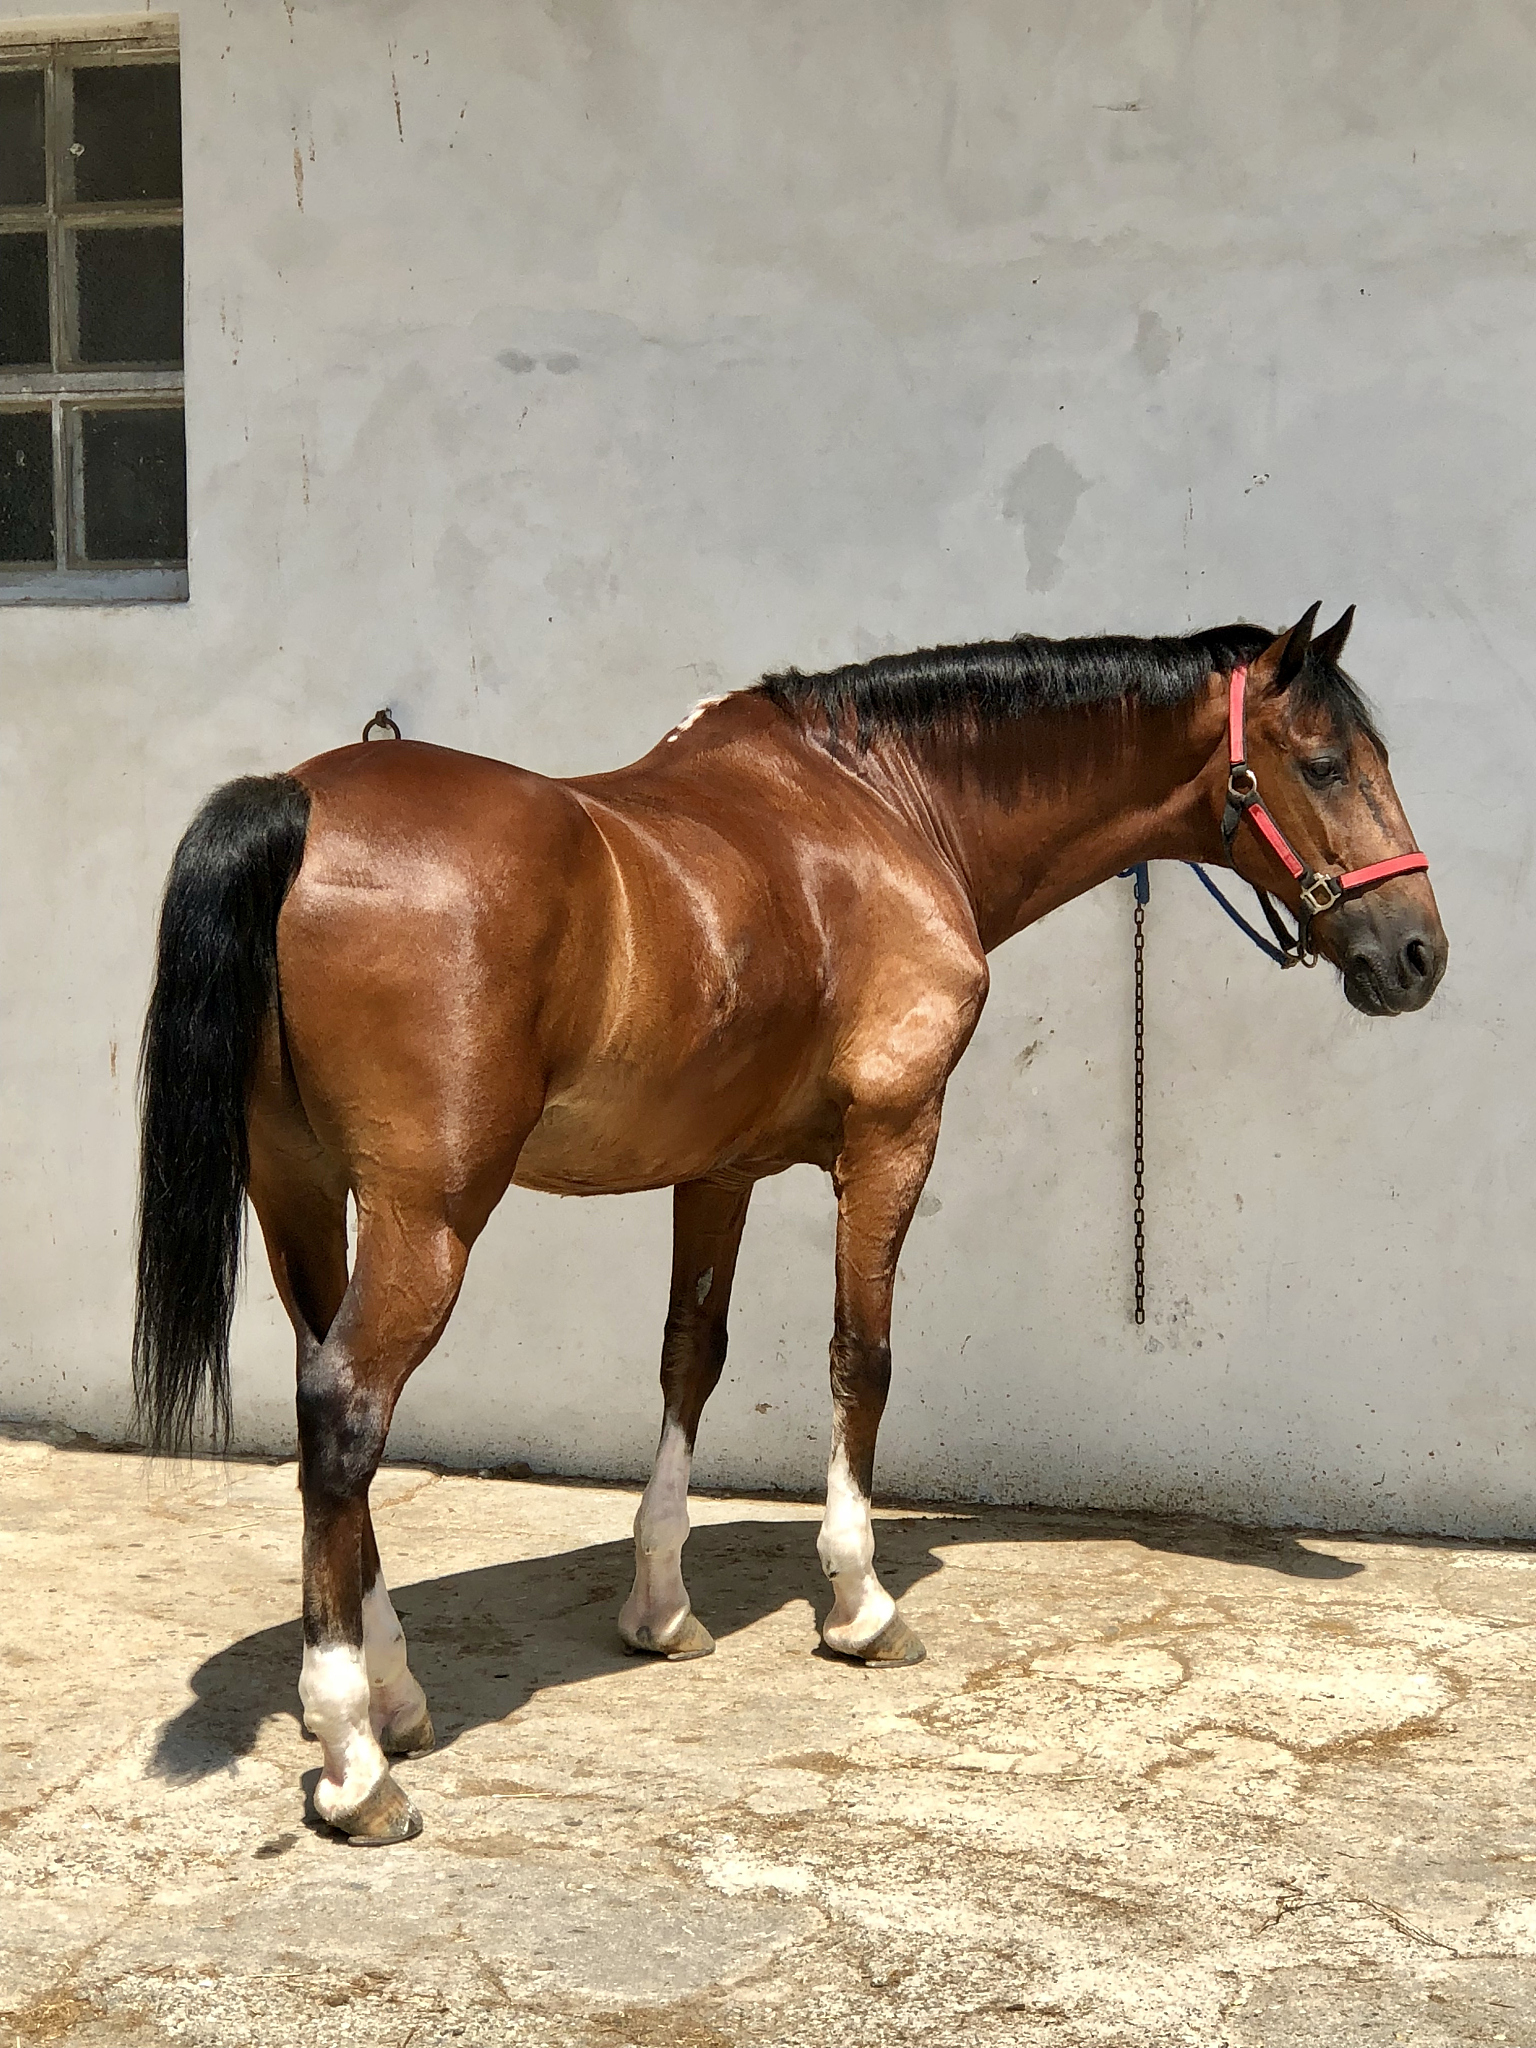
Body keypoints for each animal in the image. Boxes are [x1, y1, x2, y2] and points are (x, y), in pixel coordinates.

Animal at [133, 604, 1446, 1843]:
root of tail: (299, 805)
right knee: (346, 1411)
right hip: (428, 1218)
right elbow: (861, 1356)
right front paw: (861, 1603)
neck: (885, 808)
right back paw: (356, 1764)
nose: (1419, 953)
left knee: (324, 1407)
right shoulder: (895, 1134)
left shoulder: (718, 1169)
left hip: (303, 1198)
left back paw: (393, 1692)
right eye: (1324, 762)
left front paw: (662, 1605)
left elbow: (689, 1358)